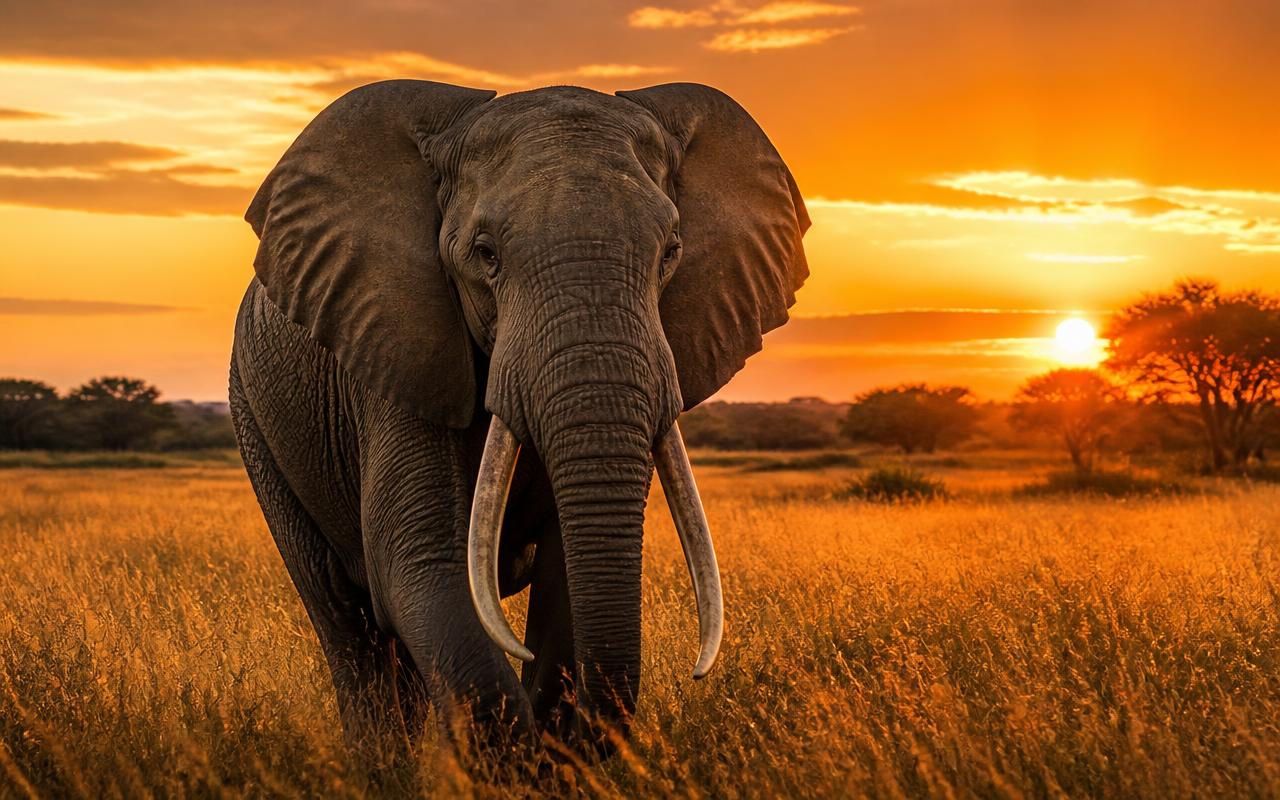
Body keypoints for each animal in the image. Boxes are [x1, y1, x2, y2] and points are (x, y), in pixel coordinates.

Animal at [228, 79, 809, 763]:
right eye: (485, 255)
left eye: (671, 253)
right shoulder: (393, 348)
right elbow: (420, 566)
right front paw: (519, 756)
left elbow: (563, 579)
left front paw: (549, 747)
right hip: (256, 421)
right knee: (350, 626)